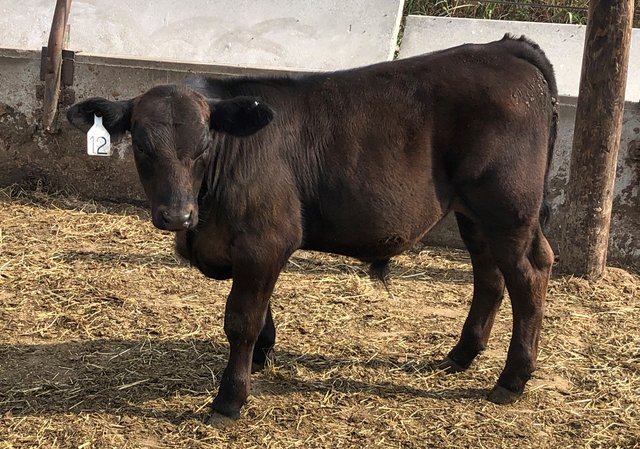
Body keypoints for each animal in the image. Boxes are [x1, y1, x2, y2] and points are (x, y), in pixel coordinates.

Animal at [67, 34, 558, 421]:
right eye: (141, 146)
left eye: (204, 144)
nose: (175, 216)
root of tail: (502, 47)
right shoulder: (253, 249)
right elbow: (261, 313)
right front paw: (261, 358)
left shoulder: (264, 240)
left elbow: (241, 319)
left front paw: (230, 399)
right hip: (474, 213)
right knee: (489, 275)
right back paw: (462, 355)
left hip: (508, 207)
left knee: (529, 273)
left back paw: (511, 380)